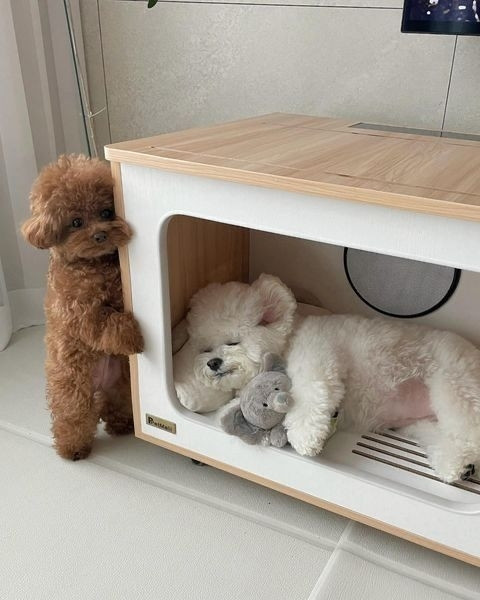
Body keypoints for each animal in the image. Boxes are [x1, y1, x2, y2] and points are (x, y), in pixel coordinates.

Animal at [179, 274, 480, 480]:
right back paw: (459, 466)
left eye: (232, 342)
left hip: (454, 387)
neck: (289, 343)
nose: (213, 363)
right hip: (423, 422)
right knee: (449, 440)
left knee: (469, 428)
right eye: (205, 349)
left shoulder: (315, 358)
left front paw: (304, 437)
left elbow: (309, 396)